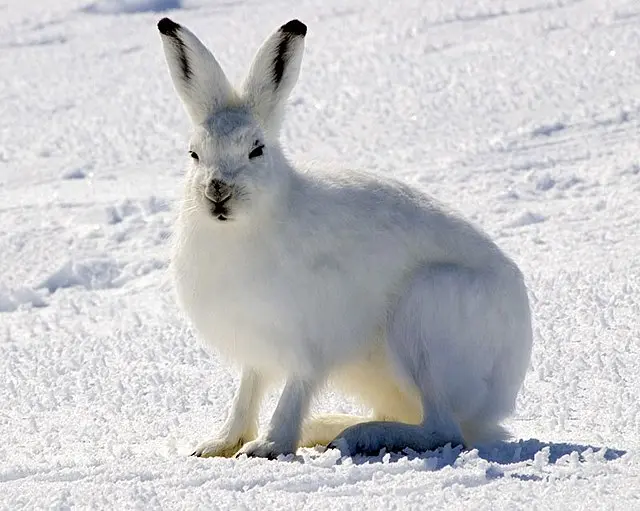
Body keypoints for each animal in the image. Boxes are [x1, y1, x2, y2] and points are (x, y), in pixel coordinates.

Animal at [158, 17, 533, 460]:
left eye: (256, 150)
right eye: (194, 154)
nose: (217, 191)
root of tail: (503, 392)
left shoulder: (311, 340)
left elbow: (294, 391)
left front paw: (268, 445)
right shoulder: (257, 347)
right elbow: (247, 392)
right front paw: (219, 444)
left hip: (425, 315)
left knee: (444, 428)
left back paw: (359, 436)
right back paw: (329, 428)